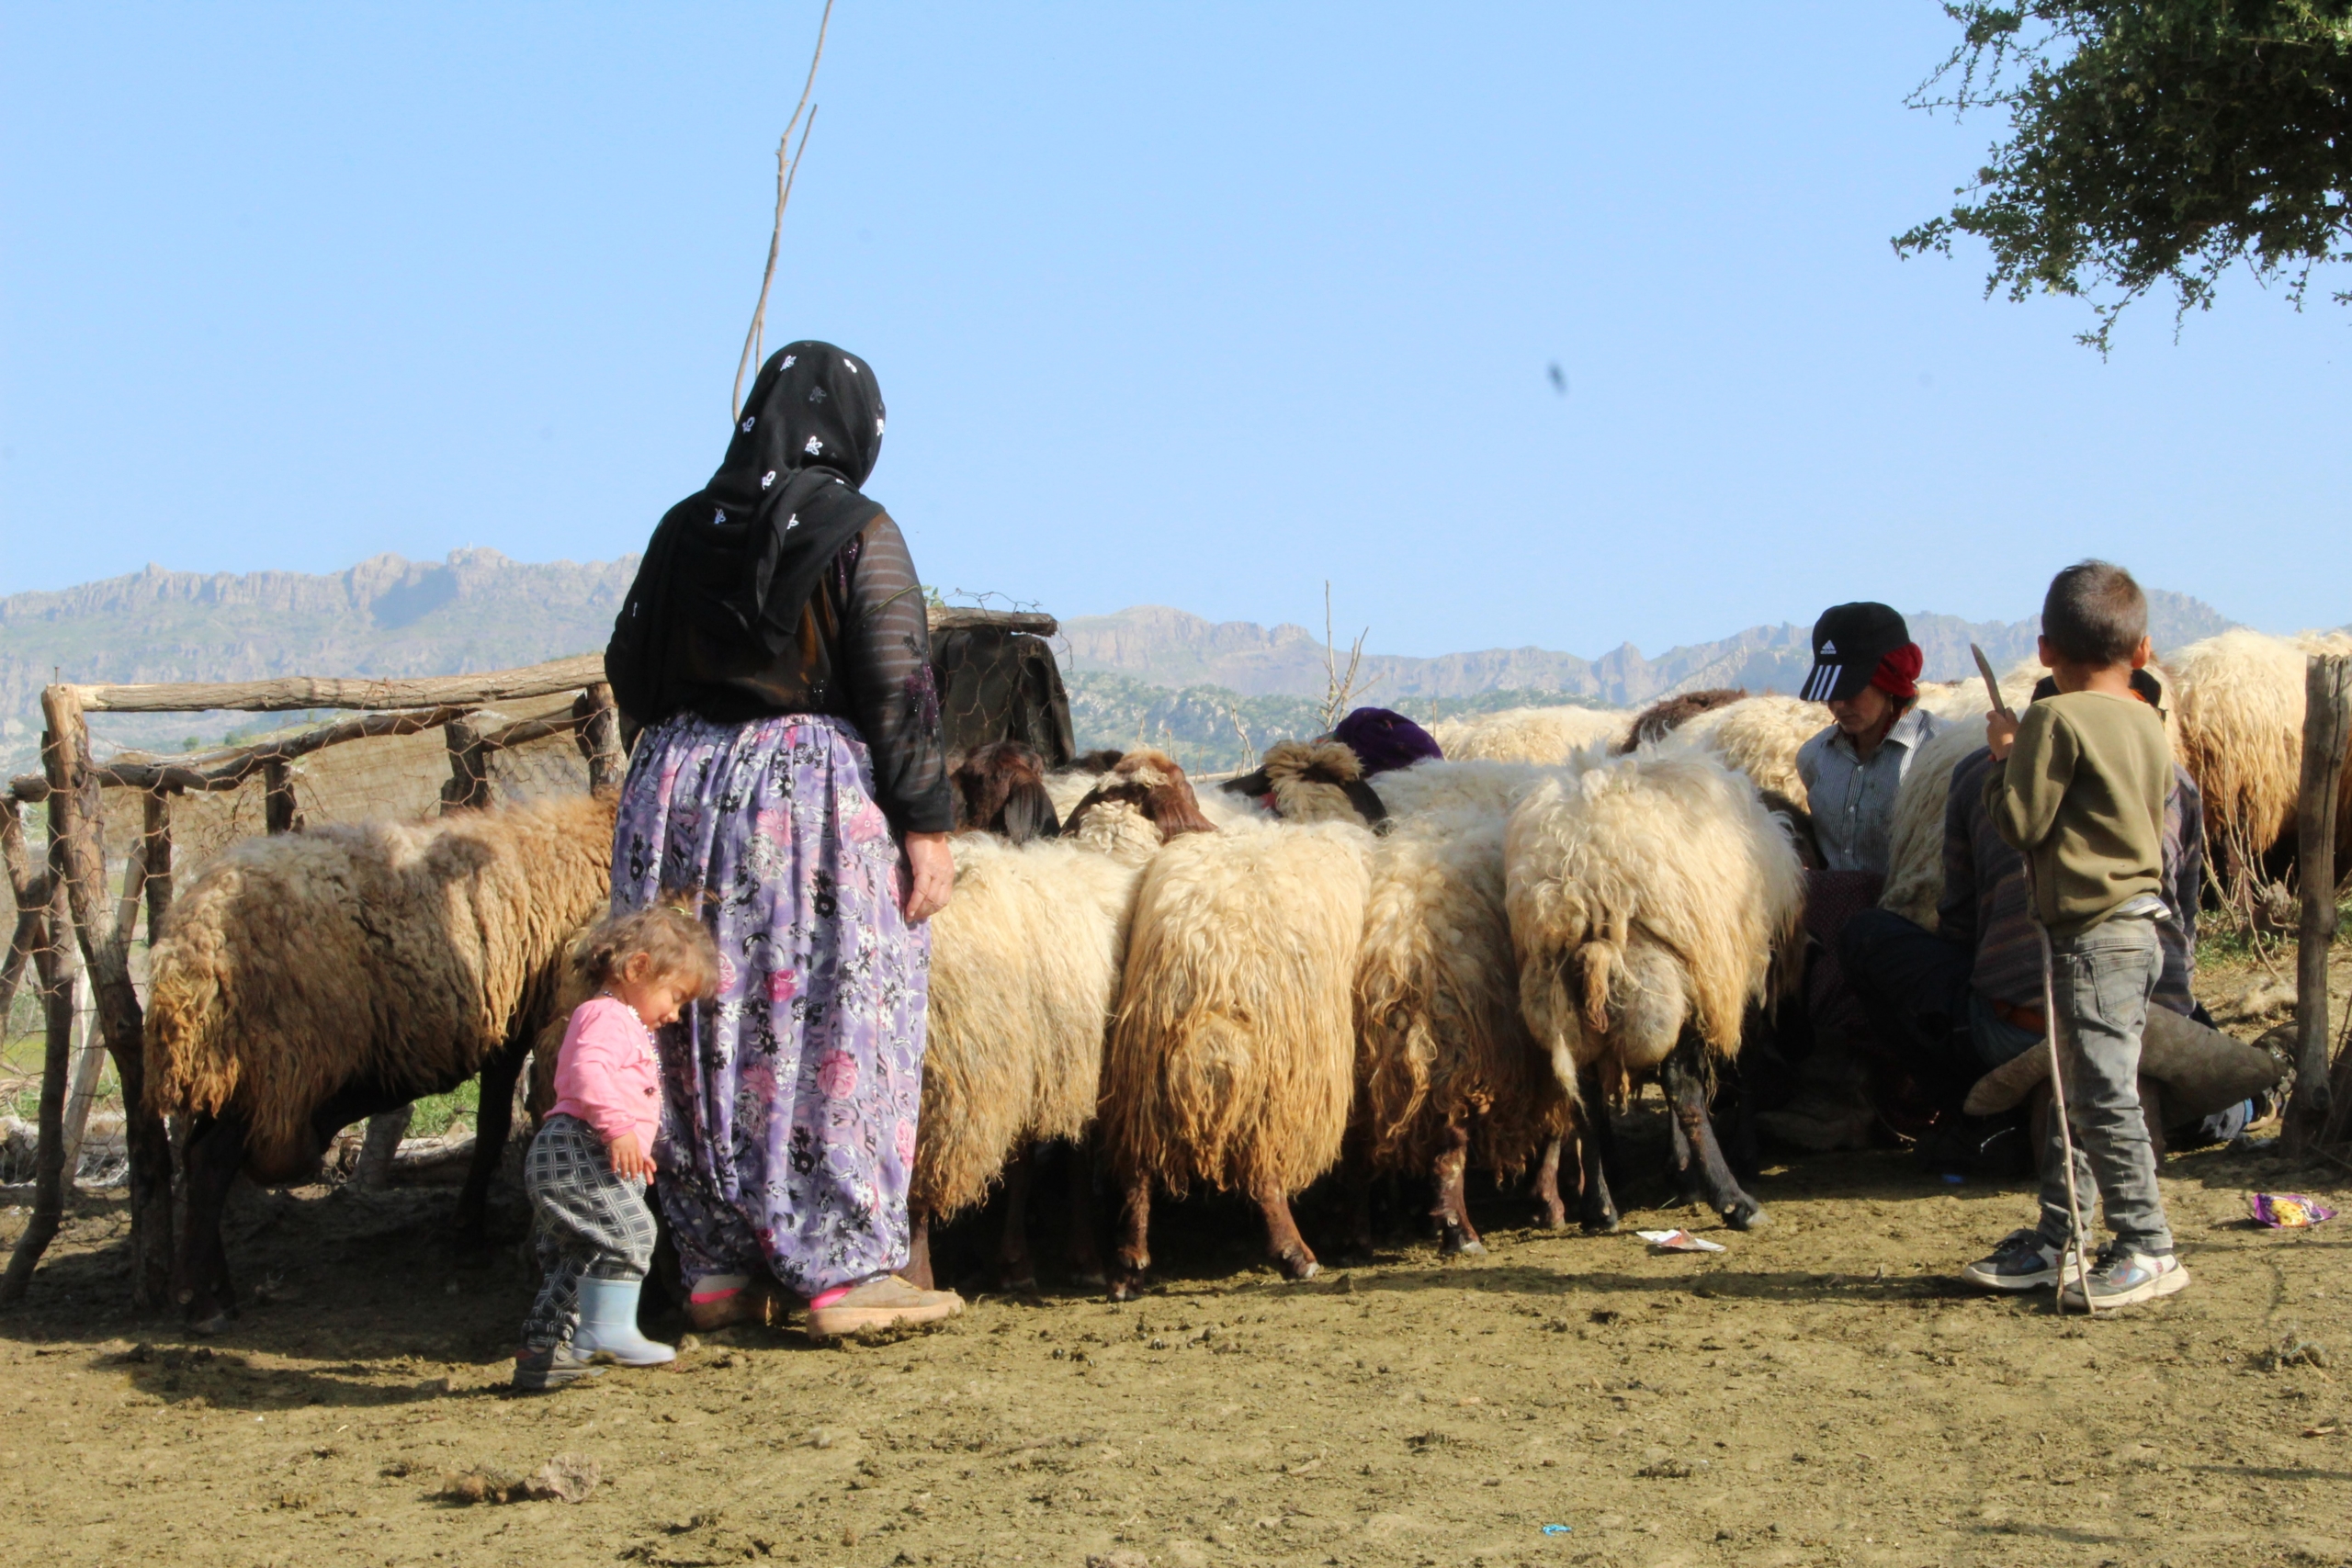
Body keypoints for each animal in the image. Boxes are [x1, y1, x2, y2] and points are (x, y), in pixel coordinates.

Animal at [148, 799, 620, 1325]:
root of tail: (186, 947)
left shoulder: (508, 1020)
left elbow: (490, 1123)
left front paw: (464, 1229)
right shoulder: (515, 1019)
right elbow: (495, 1125)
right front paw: (468, 1231)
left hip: (236, 1071)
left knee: (197, 1153)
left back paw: (208, 1284)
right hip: (271, 1059)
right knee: (214, 1158)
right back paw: (202, 1300)